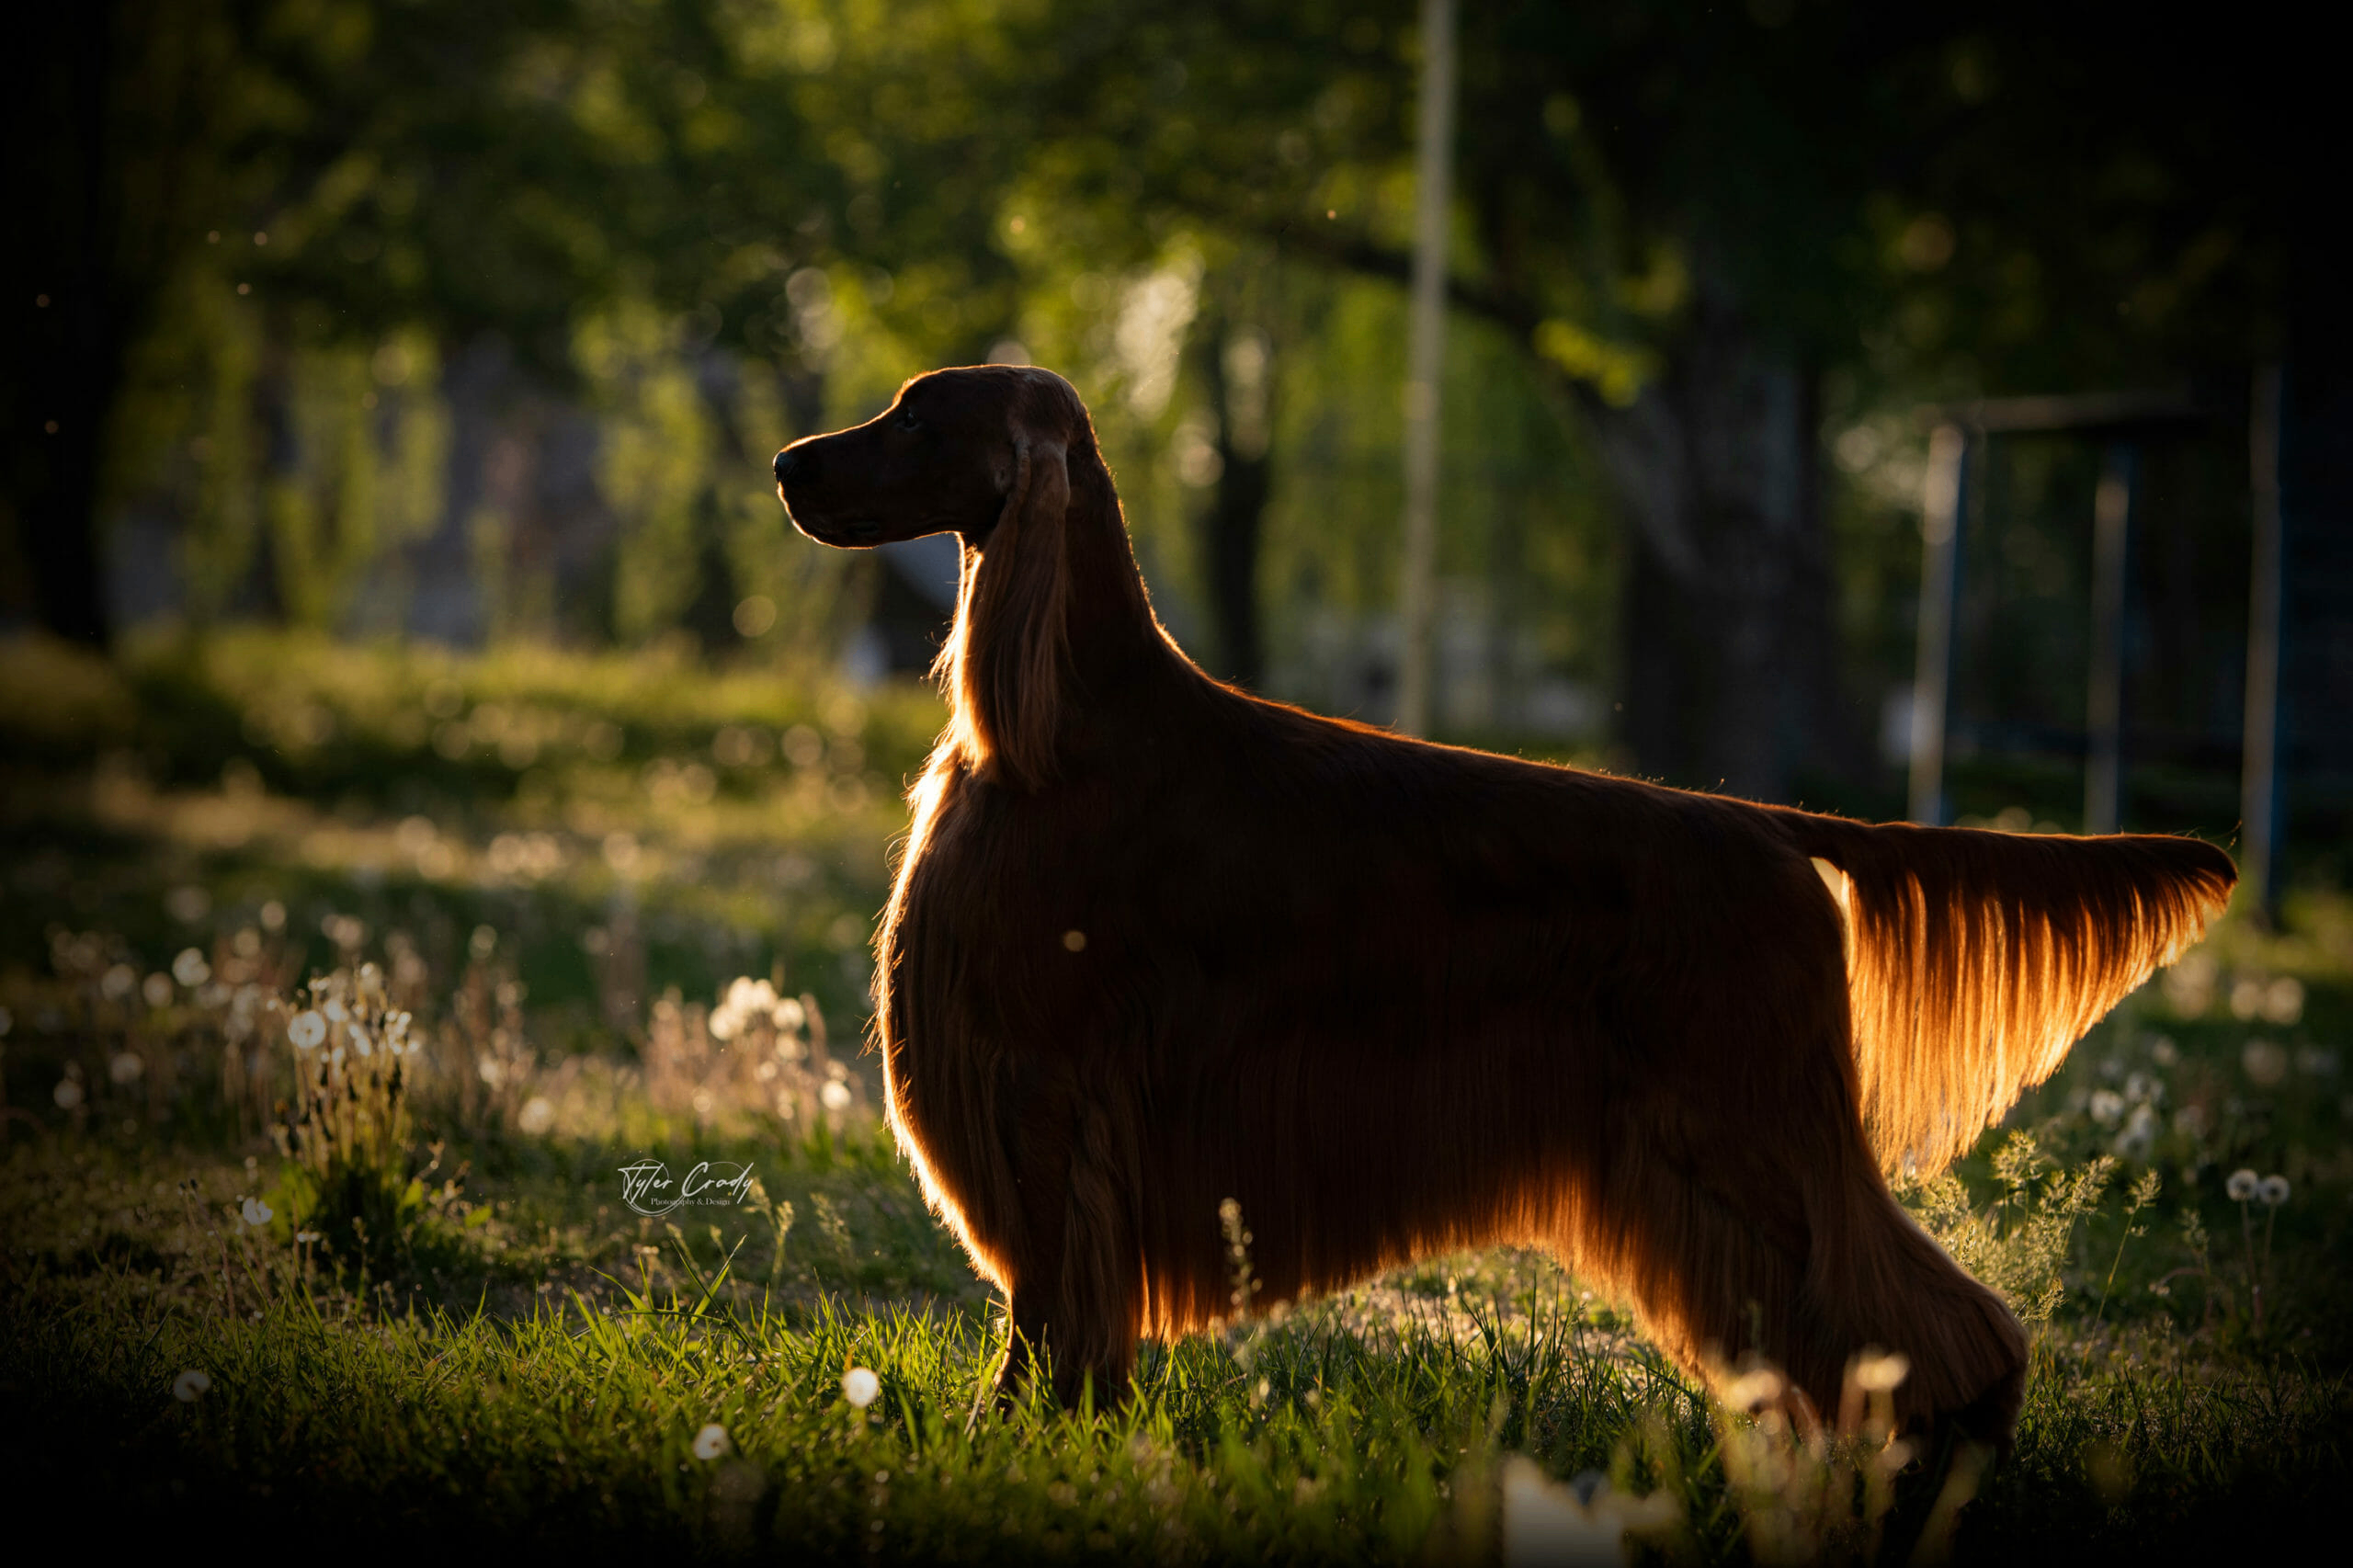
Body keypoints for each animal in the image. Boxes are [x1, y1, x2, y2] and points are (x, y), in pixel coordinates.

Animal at [776, 359, 2240, 1431]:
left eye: (918, 415)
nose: (789, 463)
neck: (1063, 725)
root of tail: (1771, 830)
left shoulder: (1043, 1084)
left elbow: (1048, 1297)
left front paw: (1017, 1431)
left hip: (1749, 1119)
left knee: (1925, 1311)